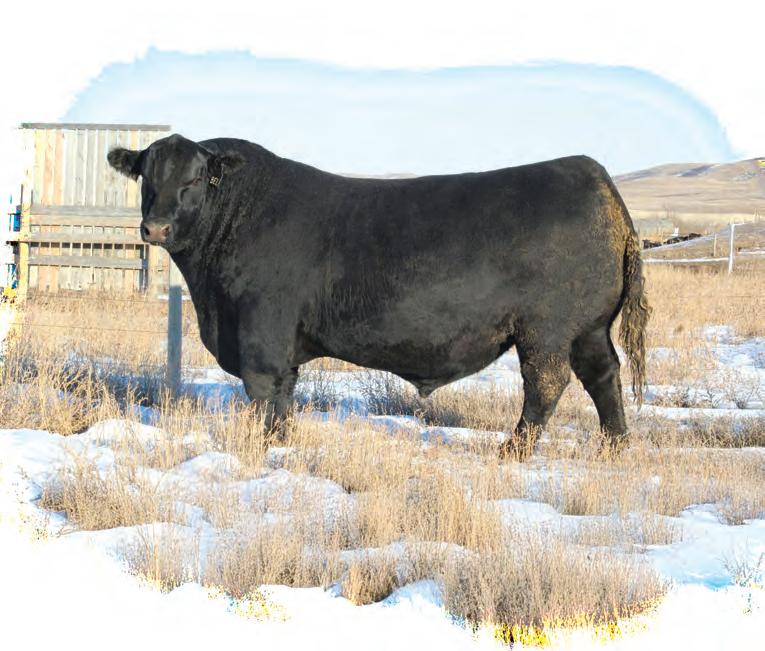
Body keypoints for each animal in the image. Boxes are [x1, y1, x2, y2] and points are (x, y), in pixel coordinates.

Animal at [108, 134, 650, 458]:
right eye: (145, 176)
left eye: (196, 178)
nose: (155, 228)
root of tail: (595, 178)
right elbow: (284, 399)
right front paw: (285, 446)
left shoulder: (260, 337)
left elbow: (265, 396)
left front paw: (269, 450)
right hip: (588, 328)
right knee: (603, 375)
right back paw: (616, 447)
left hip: (547, 329)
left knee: (546, 384)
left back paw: (511, 452)